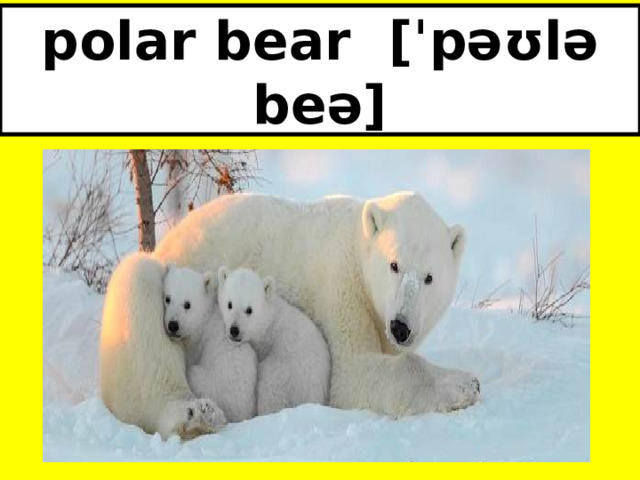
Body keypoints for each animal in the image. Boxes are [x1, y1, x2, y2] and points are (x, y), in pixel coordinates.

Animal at [162, 264, 258, 423]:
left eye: (187, 304)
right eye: (167, 298)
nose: (173, 325)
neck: (205, 317)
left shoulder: (196, 344)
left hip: (209, 384)